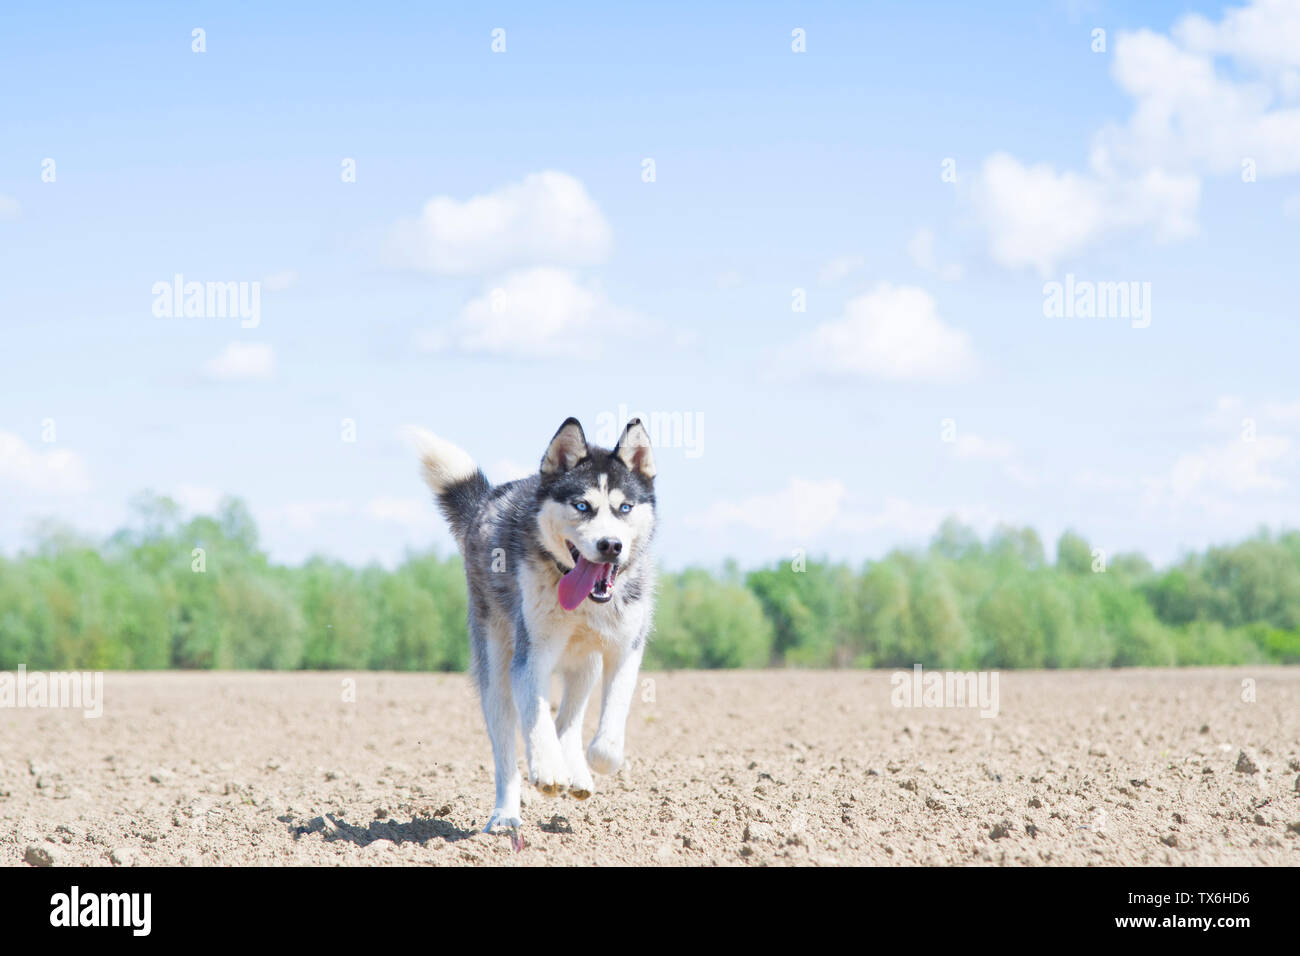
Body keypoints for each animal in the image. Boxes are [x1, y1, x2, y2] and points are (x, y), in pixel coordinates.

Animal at [416, 416, 660, 832]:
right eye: (582, 506)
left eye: (625, 507)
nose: (611, 545)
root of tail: (488, 500)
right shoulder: (531, 656)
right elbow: (535, 717)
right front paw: (548, 768)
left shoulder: (626, 648)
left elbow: (610, 723)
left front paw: (595, 758)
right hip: (495, 668)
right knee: (506, 750)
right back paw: (506, 814)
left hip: (584, 663)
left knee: (570, 718)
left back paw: (575, 768)